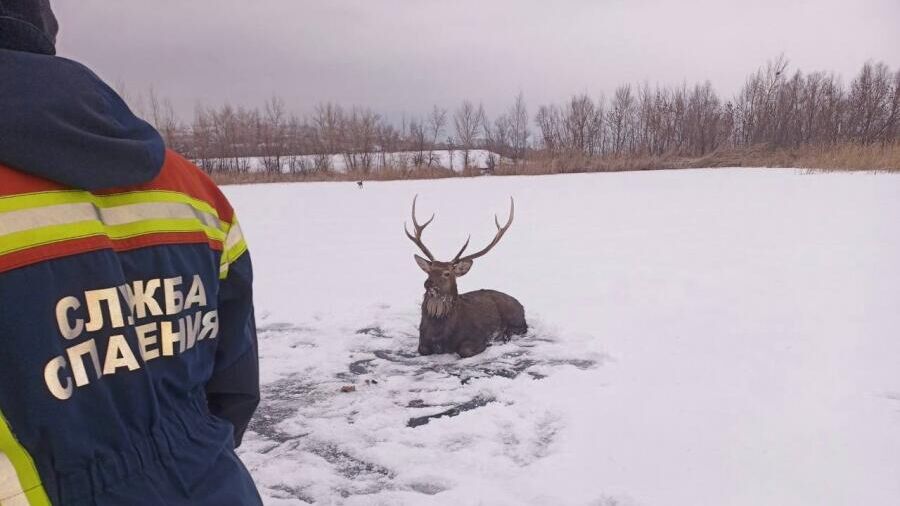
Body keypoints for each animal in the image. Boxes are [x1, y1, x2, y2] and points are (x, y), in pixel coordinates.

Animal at [402, 196, 524, 358]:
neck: (440, 334)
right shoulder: (422, 340)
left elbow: (465, 350)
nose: (428, 283)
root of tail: (522, 306)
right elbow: (422, 349)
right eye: (429, 271)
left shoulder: (476, 336)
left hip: (515, 318)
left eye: (447, 273)